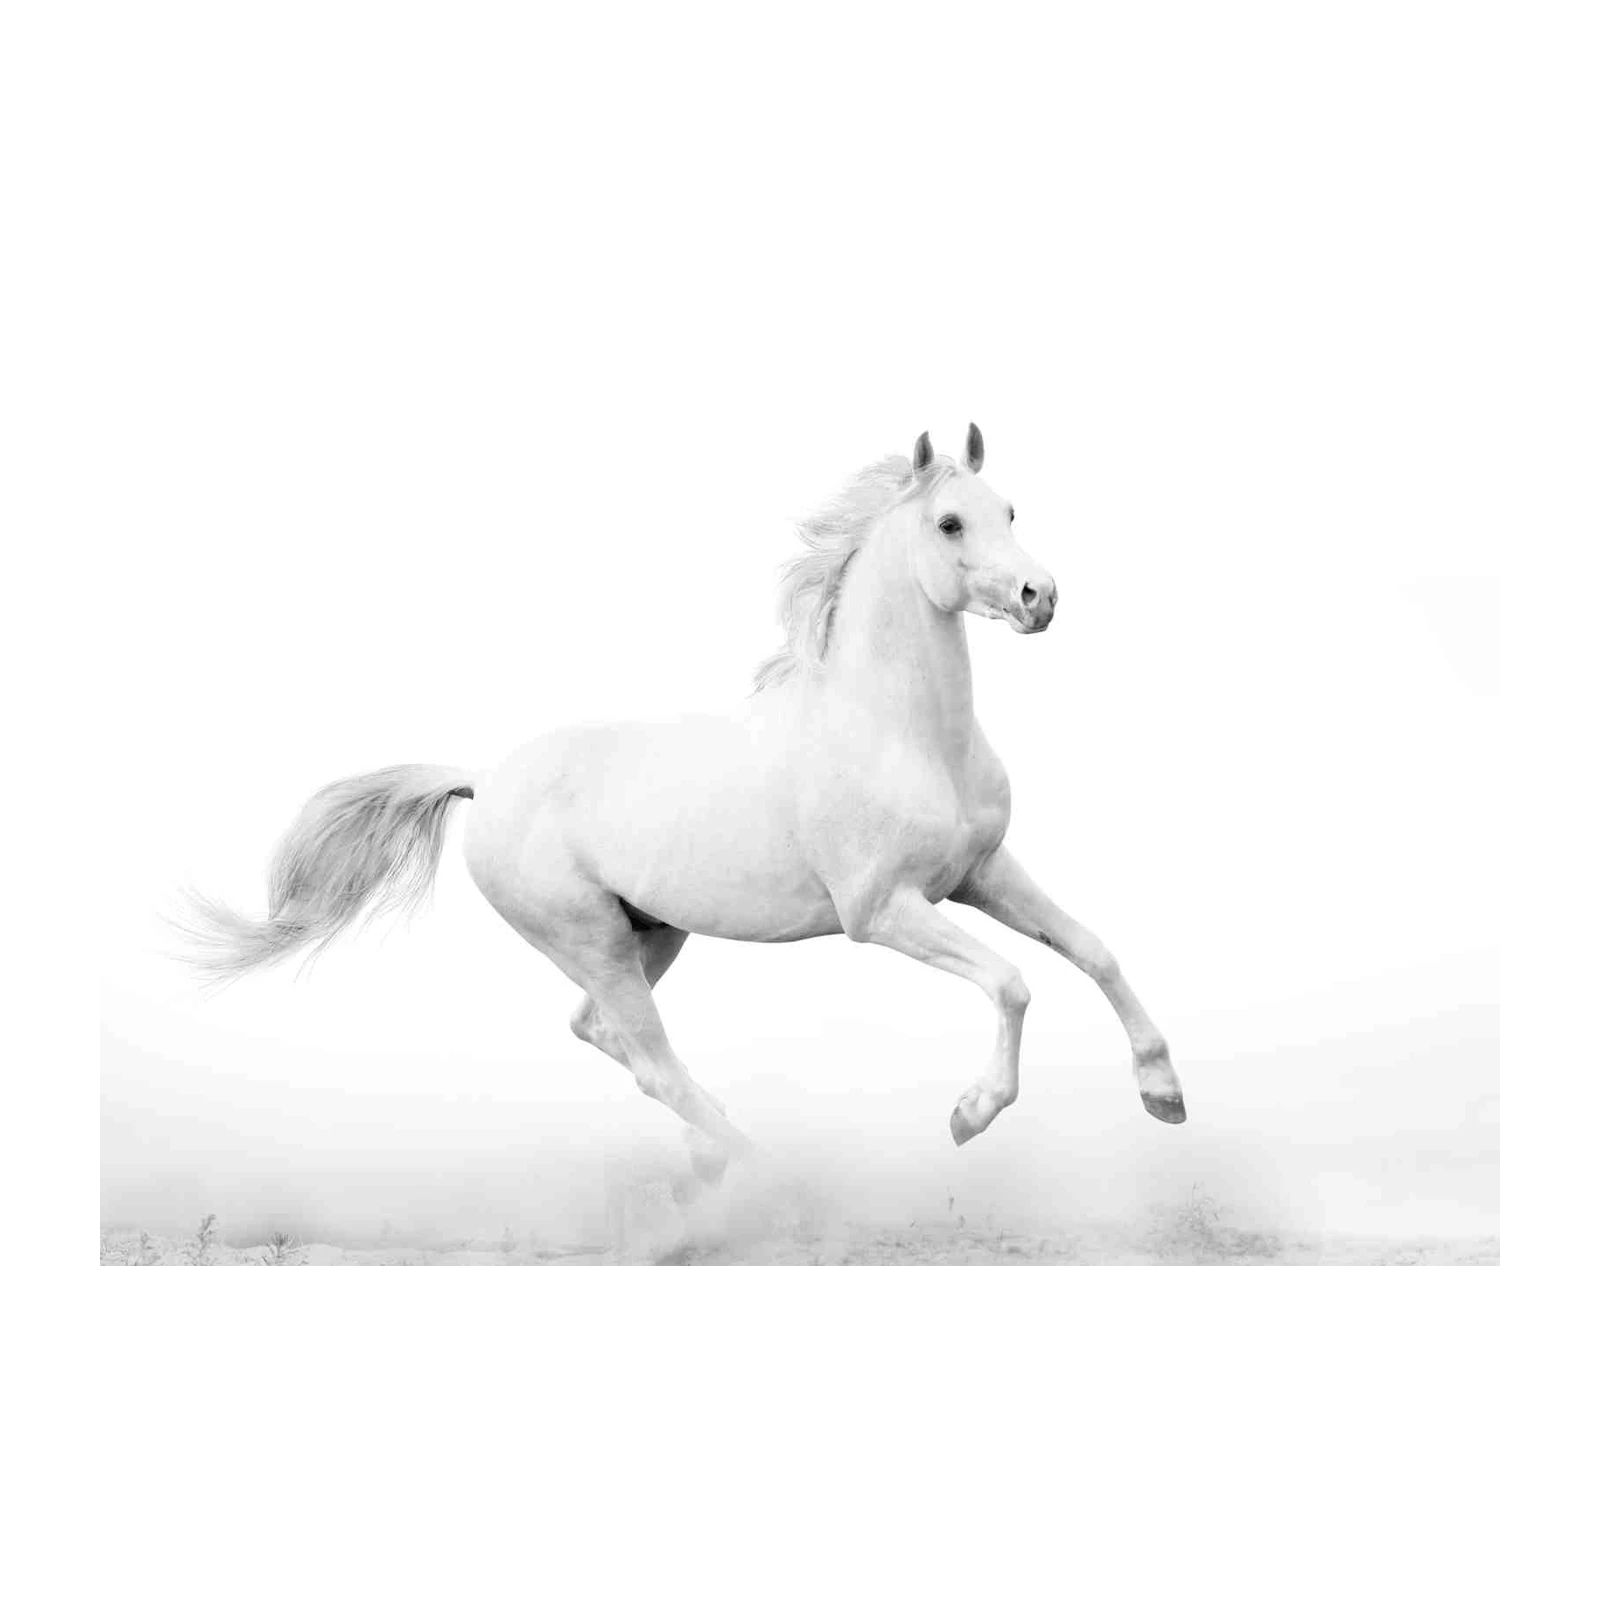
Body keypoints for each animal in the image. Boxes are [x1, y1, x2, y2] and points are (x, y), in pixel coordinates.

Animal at [180, 425, 1186, 1182]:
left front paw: (1163, 1092)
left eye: (1011, 509)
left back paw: (711, 1155)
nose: (1039, 596)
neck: (898, 732)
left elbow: (1092, 950)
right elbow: (1013, 982)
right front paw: (971, 1114)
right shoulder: (883, 912)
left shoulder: (981, 873)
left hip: (652, 934)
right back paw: (755, 1166)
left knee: (605, 1035)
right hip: (588, 938)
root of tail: (484, 782)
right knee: (652, 1062)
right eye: (948, 523)